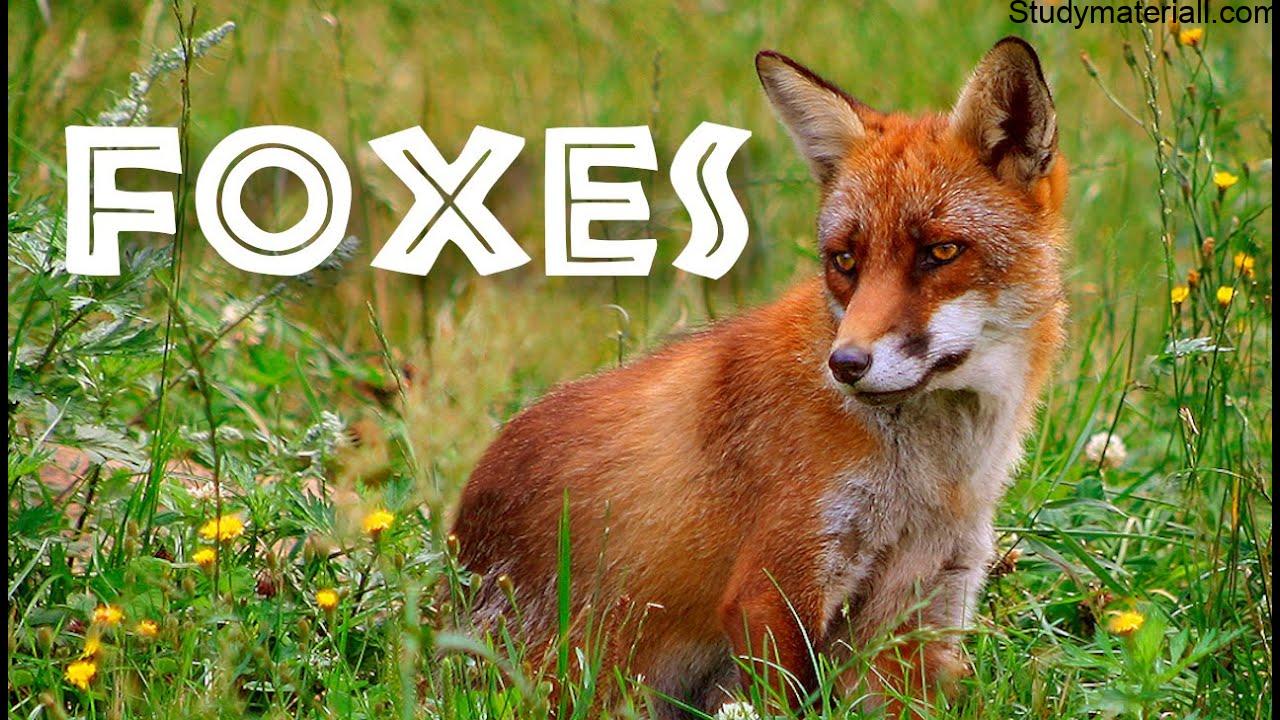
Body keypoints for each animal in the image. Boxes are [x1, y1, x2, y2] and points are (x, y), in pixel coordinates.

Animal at [451, 37, 1067, 718]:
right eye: (844, 261)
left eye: (942, 252)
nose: (845, 365)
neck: (931, 480)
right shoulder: (776, 582)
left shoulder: (923, 603)